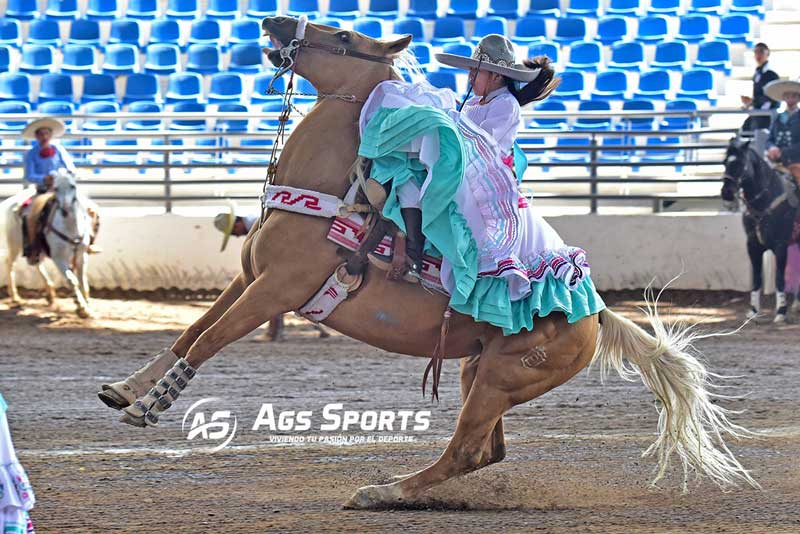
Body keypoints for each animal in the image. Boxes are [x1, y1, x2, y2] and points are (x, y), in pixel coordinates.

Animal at [3, 170, 95, 318]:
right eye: (56, 188)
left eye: (73, 186)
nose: (65, 210)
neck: (70, 227)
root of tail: (12, 201)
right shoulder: (59, 258)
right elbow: (72, 280)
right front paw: (82, 308)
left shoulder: (81, 255)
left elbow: (82, 280)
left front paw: (87, 305)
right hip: (15, 244)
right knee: (10, 263)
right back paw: (15, 297)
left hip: (36, 248)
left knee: (37, 263)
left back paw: (50, 295)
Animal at [98, 17, 756, 510]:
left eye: (343, 36)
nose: (274, 21)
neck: (329, 195)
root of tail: (593, 310)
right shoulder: (248, 278)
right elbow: (191, 331)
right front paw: (125, 389)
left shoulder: (277, 290)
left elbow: (212, 340)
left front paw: (149, 408)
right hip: (477, 370)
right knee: (486, 451)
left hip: (501, 378)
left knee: (466, 450)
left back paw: (381, 491)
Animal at [720, 138, 800, 322]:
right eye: (725, 162)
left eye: (741, 163)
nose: (726, 192)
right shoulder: (752, 246)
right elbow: (756, 278)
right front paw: (753, 310)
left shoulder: (780, 246)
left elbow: (779, 278)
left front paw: (780, 312)